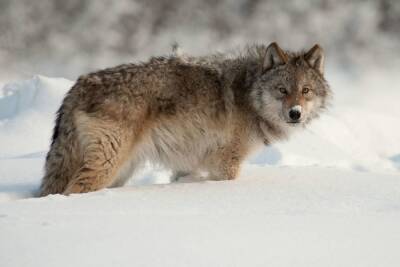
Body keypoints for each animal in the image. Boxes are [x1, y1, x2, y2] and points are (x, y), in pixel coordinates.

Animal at [38, 42, 332, 197]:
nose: (295, 113)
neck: (250, 95)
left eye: (305, 91)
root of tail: (79, 85)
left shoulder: (190, 164)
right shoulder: (226, 164)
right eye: (282, 90)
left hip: (120, 171)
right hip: (106, 167)